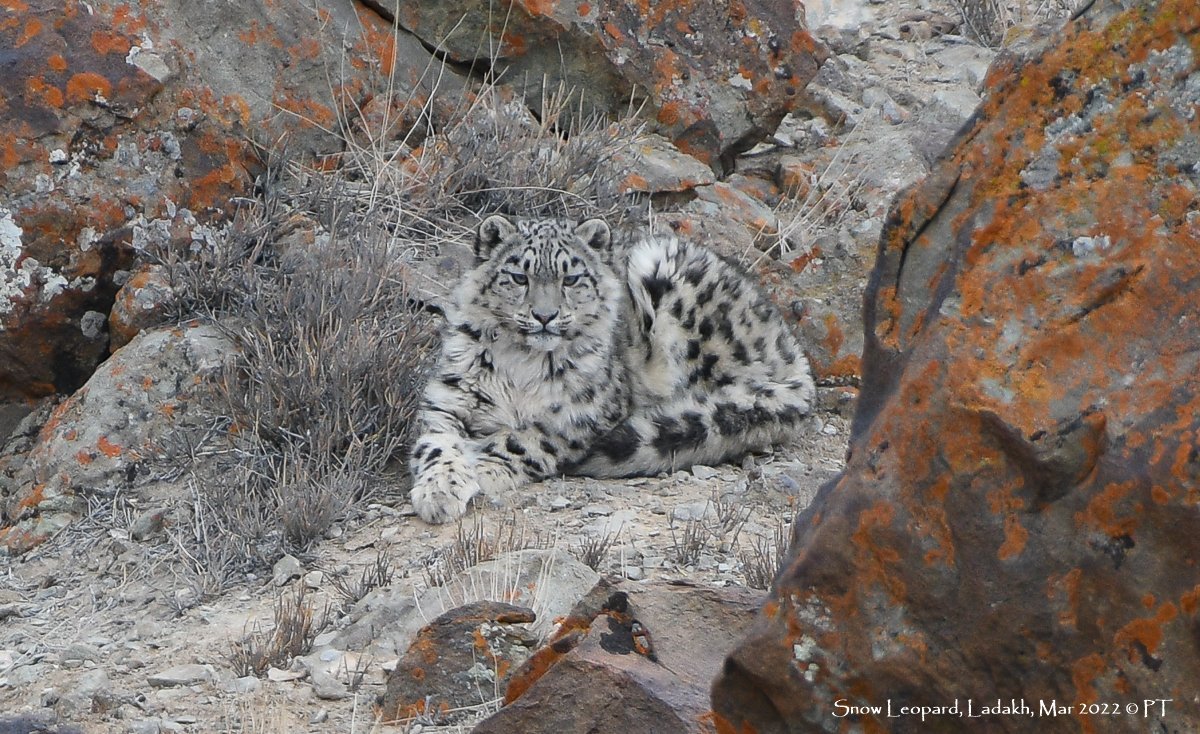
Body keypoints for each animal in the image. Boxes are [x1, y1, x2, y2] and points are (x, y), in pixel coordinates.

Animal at [410, 212, 816, 522]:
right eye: (519, 277)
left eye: (571, 278)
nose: (544, 316)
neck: (522, 363)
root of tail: (793, 349)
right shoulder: (448, 400)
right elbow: (436, 446)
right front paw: (439, 492)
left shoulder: (585, 411)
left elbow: (525, 439)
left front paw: (482, 466)